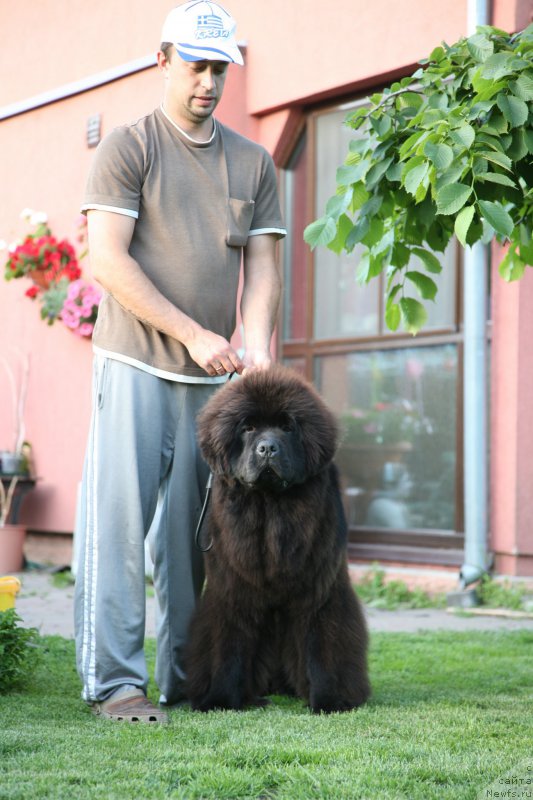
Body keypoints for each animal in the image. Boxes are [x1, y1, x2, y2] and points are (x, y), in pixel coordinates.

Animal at [187, 364, 370, 712]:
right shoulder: (231, 592)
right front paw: (220, 699)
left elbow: (322, 646)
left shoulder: (318, 592)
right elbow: (227, 647)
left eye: (287, 428)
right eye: (248, 428)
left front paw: (329, 701)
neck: (269, 506)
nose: (268, 448)